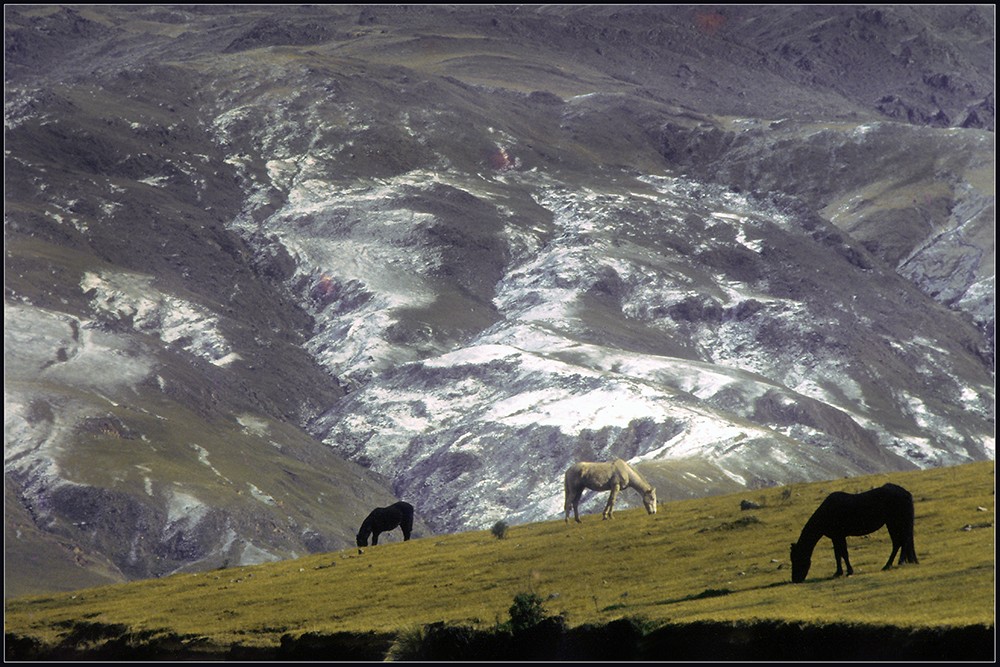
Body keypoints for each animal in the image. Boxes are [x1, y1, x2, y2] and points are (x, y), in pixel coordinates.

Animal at [788, 480, 920, 584]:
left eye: (797, 559)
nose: (795, 580)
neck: (827, 512)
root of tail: (906, 493)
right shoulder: (835, 537)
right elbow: (837, 554)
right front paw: (838, 572)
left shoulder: (840, 536)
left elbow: (844, 553)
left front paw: (849, 571)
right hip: (893, 523)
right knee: (900, 542)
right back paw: (890, 564)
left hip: (895, 522)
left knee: (901, 542)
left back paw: (897, 563)